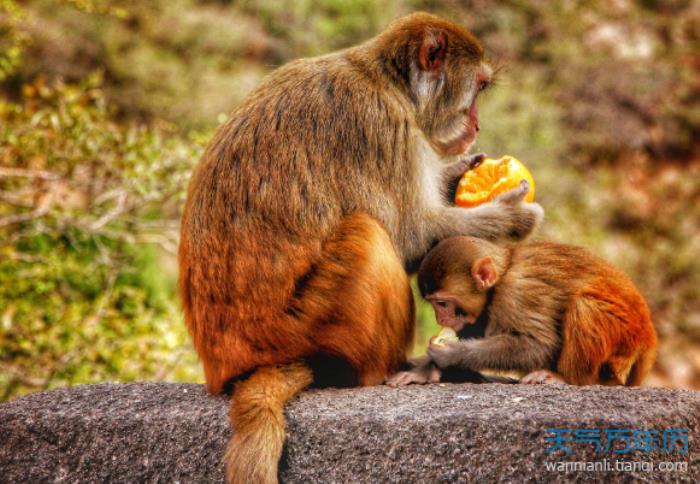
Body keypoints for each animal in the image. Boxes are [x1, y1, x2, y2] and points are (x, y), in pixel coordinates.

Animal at [179, 11, 540, 484]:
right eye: (477, 88)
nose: (476, 125)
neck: (390, 84)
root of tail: (232, 368)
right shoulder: (382, 127)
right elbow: (409, 236)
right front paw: (511, 216)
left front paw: (459, 171)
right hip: (302, 326)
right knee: (369, 235)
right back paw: (394, 370)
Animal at [388, 236, 656, 388]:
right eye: (434, 304)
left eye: (442, 303)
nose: (440, 318)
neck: (505, 270)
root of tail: (648, 338)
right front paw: (426, 370)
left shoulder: (515, 293)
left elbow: (540, 345)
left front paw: (452, 354)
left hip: (626, 337)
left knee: (584, 306)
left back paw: (570, 379)